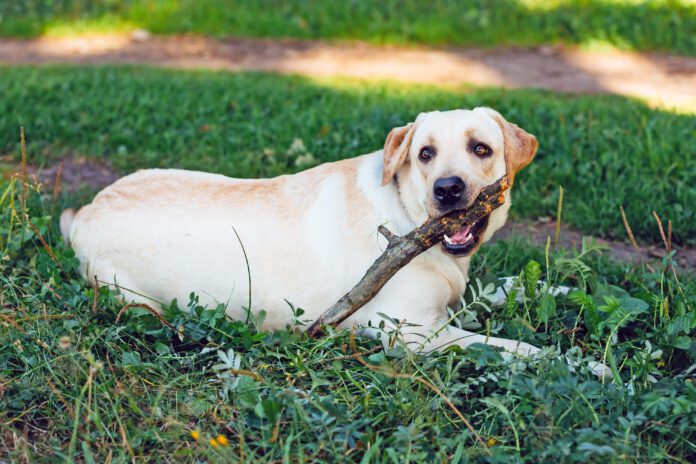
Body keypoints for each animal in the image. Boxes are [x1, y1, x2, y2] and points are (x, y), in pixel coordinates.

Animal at [61, 108, 540, 356]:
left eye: (481, 149)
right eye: (425, 154)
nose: (448, 189)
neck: (408, 216)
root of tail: (85, 211)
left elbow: (511, 287)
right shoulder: (414, 332)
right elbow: (508, 347)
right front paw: (555, 361)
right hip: (136, 300)